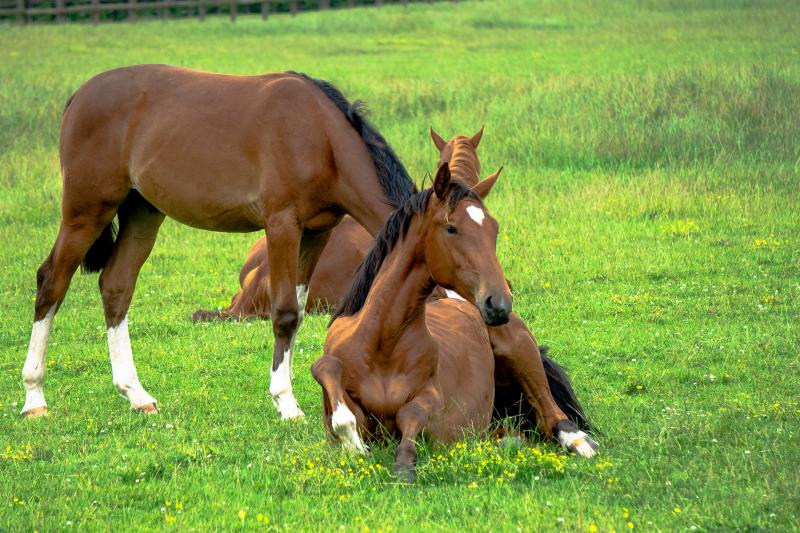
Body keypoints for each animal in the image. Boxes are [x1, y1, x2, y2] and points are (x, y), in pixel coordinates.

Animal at [20, 65, 417, 420]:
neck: (319, 135)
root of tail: (80, 96)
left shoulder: (317, 233)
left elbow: (300, 312)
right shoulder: (282, 225)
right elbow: (285, 313)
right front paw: (286, 403)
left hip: (141, 215)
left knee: (116, 286)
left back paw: (136, 394)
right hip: (85, 213)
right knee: (51, 282)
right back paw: (34, 397)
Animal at [312, 162, 599, 481]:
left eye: (494, 230)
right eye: (451, 228)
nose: (499, 303)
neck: (381, 346)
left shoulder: (432, 398)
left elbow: (411, 414)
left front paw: (404, 465)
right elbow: (327, 371)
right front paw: (354, 445)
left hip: (521, 350)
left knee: (550, 415)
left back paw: (579, 441)